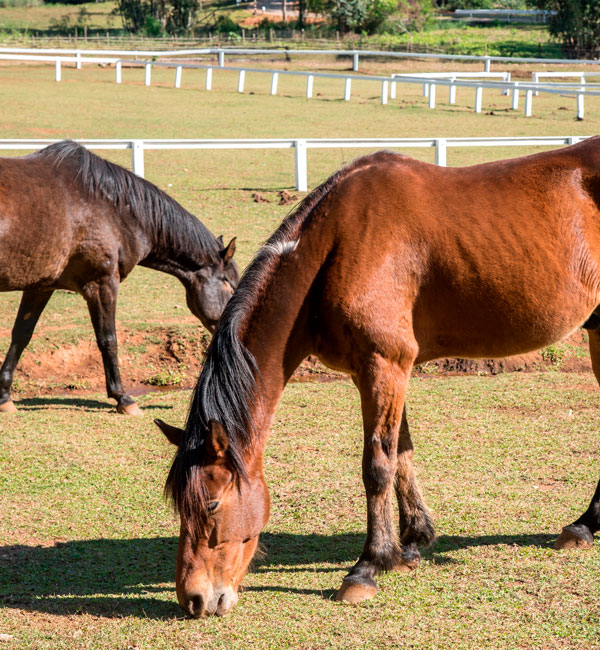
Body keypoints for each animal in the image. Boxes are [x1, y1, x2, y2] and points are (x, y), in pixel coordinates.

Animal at [0, 142, 239, 416]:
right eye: (230, 285)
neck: (111, 207)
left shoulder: (41, 286)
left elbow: (21, 335)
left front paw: (4, 397)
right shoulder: (101, 284)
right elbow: (108, 340)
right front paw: (123, 398)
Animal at [156, 139, 600, 616]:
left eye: (212, 503)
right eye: (181, 507)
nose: (194, 599)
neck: (337, 244)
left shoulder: (384, 363)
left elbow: (377, 465)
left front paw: (368, 566)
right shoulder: (380, 370)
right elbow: (401, 452)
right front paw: (409, 544)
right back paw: (584, 526)